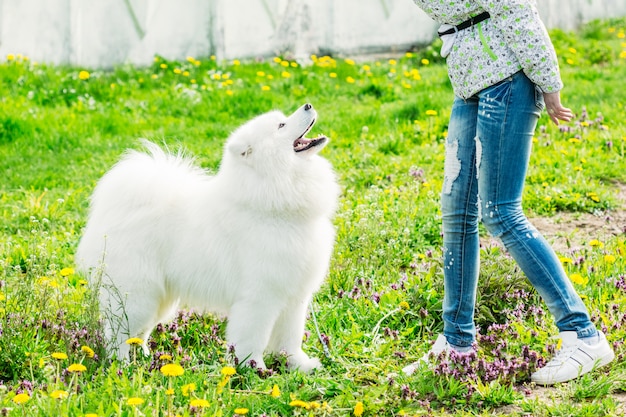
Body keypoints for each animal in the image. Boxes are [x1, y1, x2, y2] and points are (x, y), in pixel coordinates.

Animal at [75, 103, 338, 370]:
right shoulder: (259, 298)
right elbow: (252, 339)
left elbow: (290, 338)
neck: (271, 202)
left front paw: (299, 365)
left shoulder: (294, 298)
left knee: (139, 332)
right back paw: (123, 365)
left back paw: (147, 358)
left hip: (158, 299)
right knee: (118, 333)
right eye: (281, 125)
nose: (308, 105)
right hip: (137, 295)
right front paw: (254, 368)